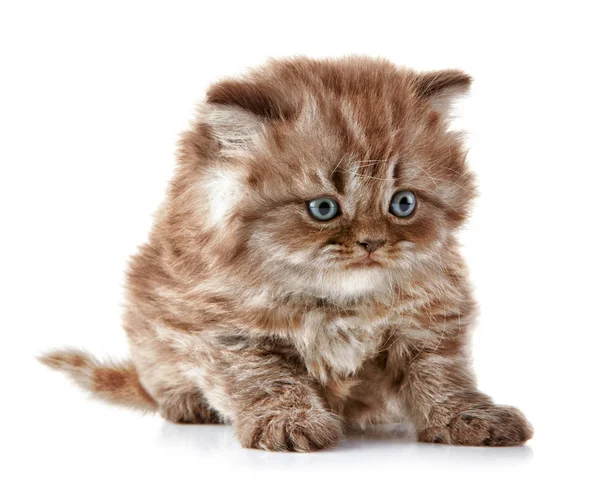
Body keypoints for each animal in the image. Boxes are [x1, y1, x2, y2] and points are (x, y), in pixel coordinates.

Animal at [39, 56, 532, 452]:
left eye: (403, 203)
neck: (342, 304)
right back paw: (187, 403)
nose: (371, 243)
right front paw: (288, 422)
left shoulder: (431, 317)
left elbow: (442, 374)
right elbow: (267, 379)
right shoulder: (223, 329)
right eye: (323, 209)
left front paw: (468, 418)